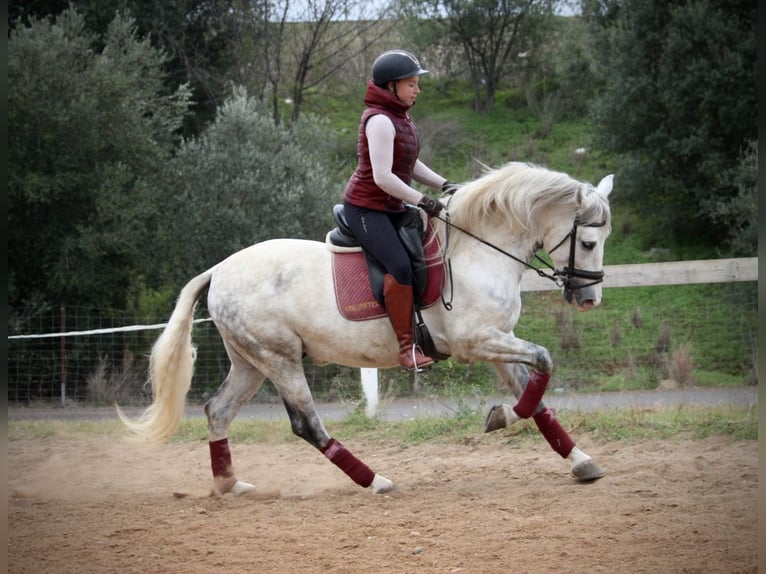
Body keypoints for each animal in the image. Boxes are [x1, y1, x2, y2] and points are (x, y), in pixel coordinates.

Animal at [119, 161, 614, 496]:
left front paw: (580, 461)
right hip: (279, 359)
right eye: (589, 242)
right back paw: (374, 480)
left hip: (250, 361)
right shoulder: (478, 342)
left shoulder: (498, 344)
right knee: (307, 425)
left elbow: (536, 398)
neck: (479, 249)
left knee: (218, 412)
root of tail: (219, 270)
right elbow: (544, 362)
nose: (589, 300)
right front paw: (501, 418)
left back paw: (230, 485)